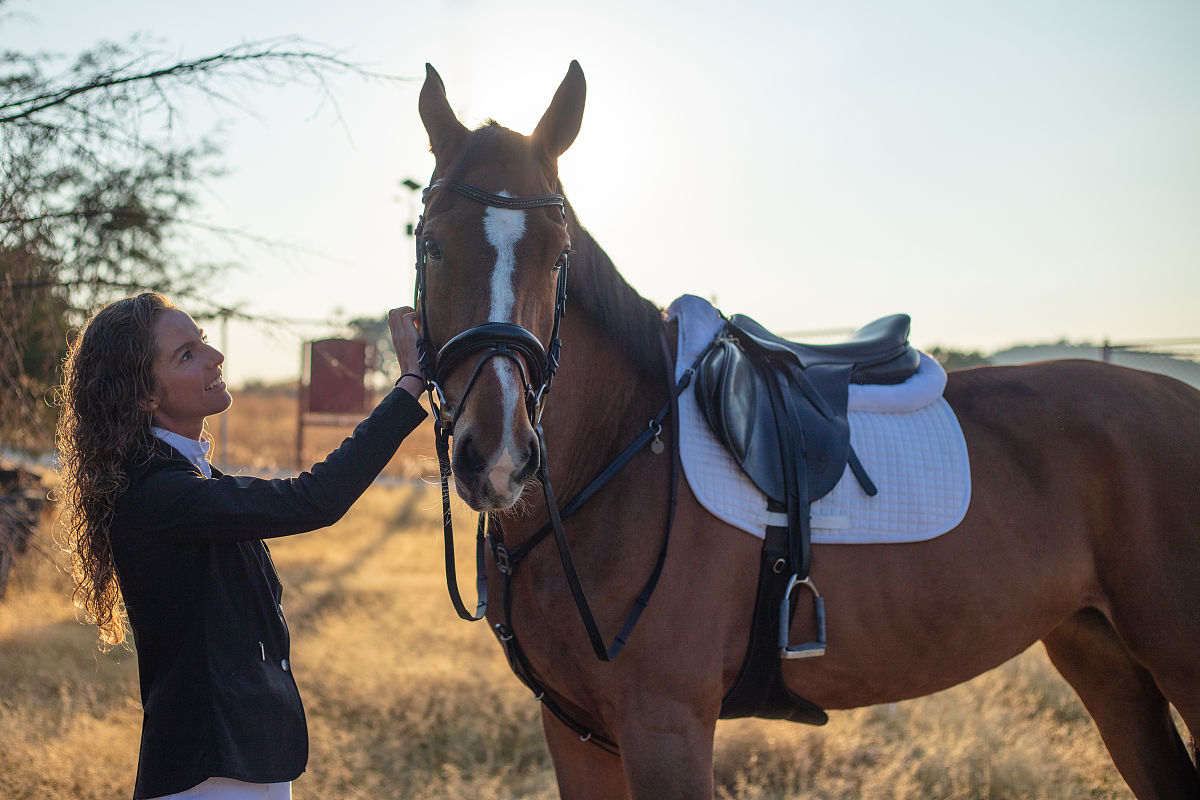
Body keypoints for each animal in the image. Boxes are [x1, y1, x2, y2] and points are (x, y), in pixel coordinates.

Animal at [410, 61, 1200, 799]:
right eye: (433, 244)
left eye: (558, 252)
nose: (501, 456)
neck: (619, 454)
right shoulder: (577, 733)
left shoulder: (666, 723)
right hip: (1106, 662)